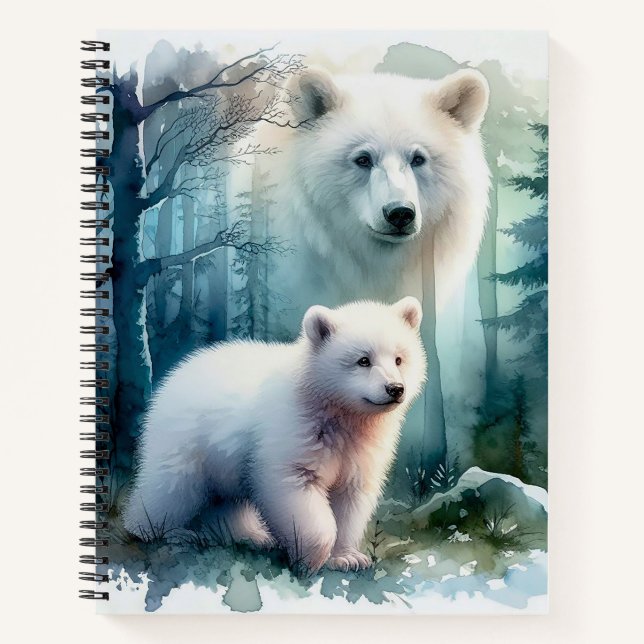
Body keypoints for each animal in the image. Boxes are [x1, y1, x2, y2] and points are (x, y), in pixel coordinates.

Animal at [123, 297, 427, 573]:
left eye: (399, 359)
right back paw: (161, 531)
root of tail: (174, 375)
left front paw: (347, 558)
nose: (395, 388)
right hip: (186, 441)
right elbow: (296, 488)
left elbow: (349, 499)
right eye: (363, 360)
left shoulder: (359, 450)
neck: (339, 415)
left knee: (225, 502)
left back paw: (248, 536)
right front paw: (311, 560)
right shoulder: (294, 434)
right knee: (172, 488)